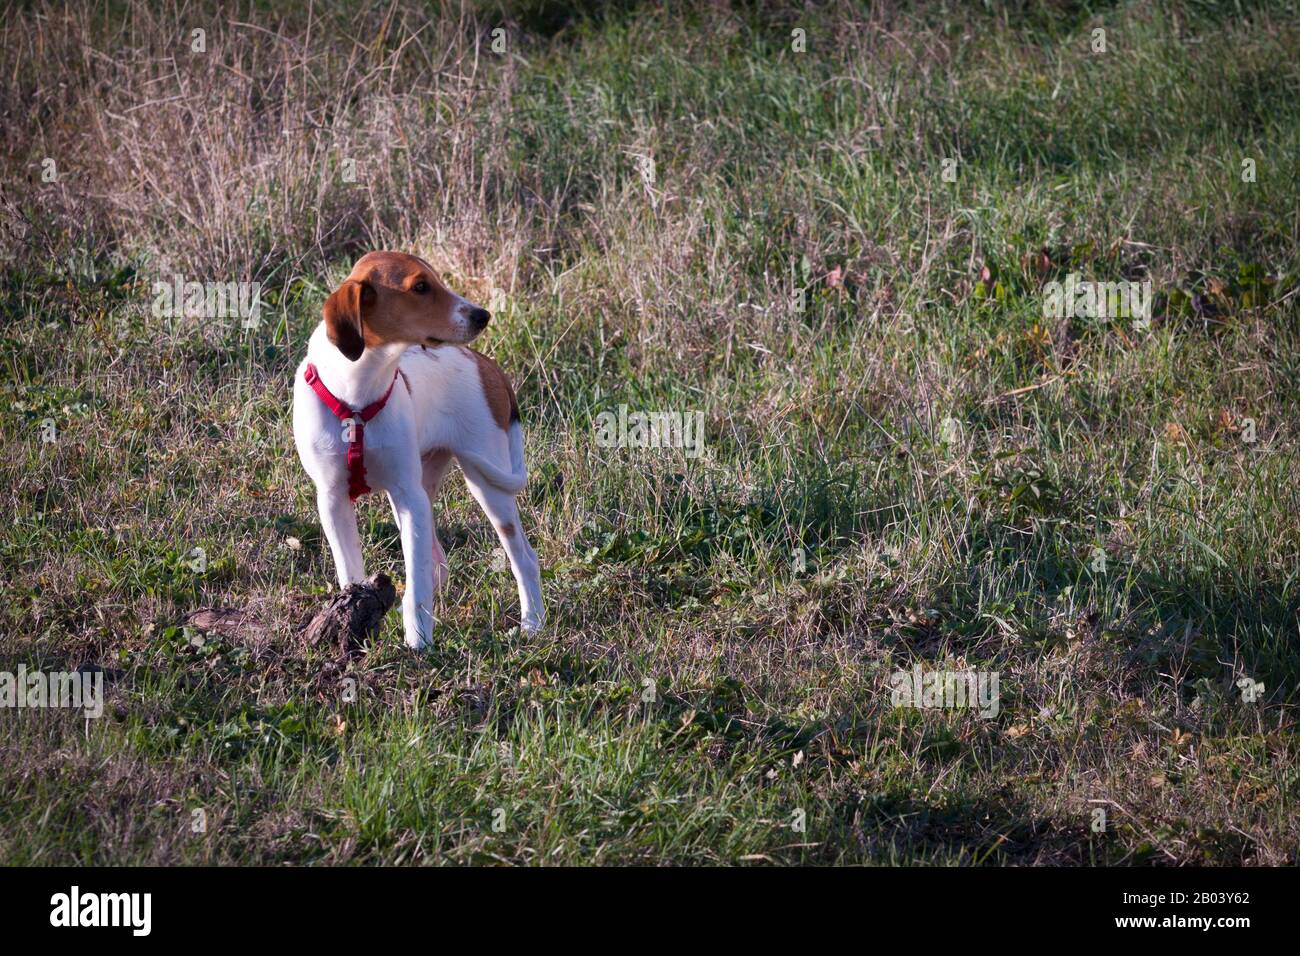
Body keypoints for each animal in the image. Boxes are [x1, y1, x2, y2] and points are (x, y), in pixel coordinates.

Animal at [292, 251, 540, 647]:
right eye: (420, 287)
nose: (482, 315)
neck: (358, 393)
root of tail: (485, 364)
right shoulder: (332, 499)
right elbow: (351, 572)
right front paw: (350, 620)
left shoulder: (408, 495)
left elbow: (418, 583)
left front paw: (418, 642)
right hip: (425, 486)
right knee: (437, 562)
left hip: (485, 485)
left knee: (523, 560)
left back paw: (533, 623)